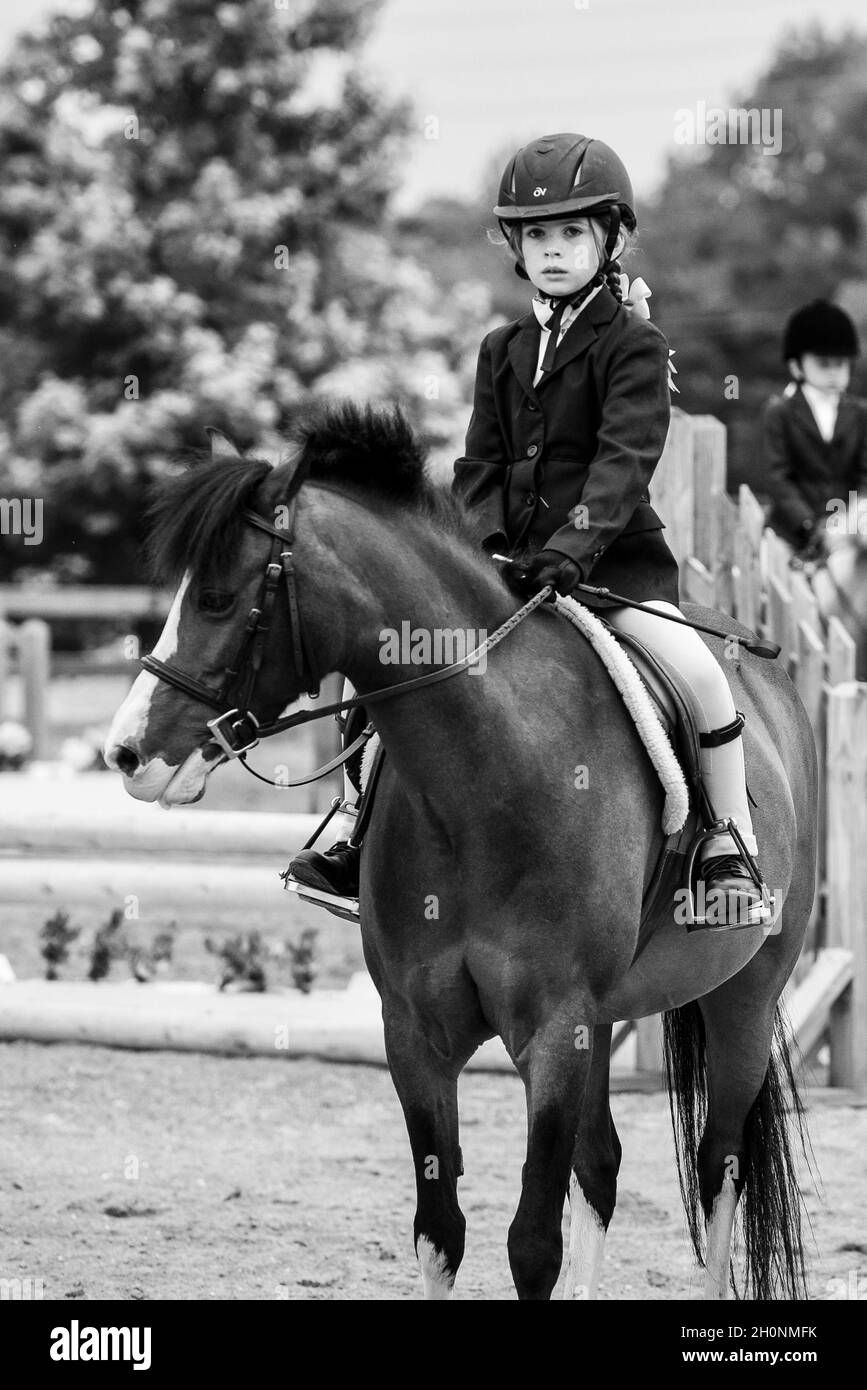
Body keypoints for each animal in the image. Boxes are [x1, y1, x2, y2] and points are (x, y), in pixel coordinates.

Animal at [104, 403, 816, 1301]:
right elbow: (439, 1230)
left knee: (719, 1164)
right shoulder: (416, 1032)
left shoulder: (552, 1029)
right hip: (605, 1018)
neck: (482, 780)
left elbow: (531, 1243)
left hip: (744, 993)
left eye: (221, 598)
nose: (125, 753)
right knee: (602, 1167)